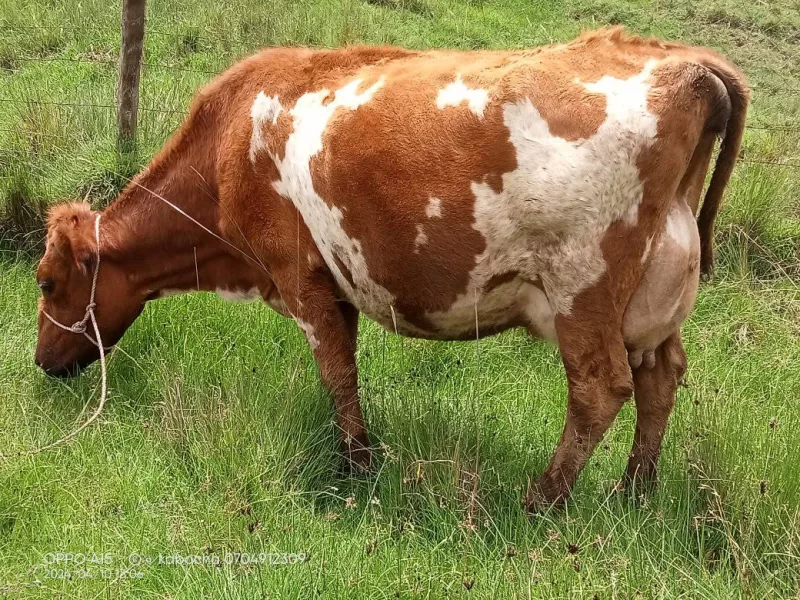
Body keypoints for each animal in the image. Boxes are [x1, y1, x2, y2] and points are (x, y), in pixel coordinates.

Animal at [31, 25, 744, 508]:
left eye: (47, 281)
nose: (41, 362)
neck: (228, 146)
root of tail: (682, 60)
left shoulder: (302, 281)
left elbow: (338, 375)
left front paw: (358, 468)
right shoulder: (334, 285)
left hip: (583, 290)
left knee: (601, 388)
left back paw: (541, 500)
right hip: (652, 300)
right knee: (660, 377)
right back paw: (635, 492)